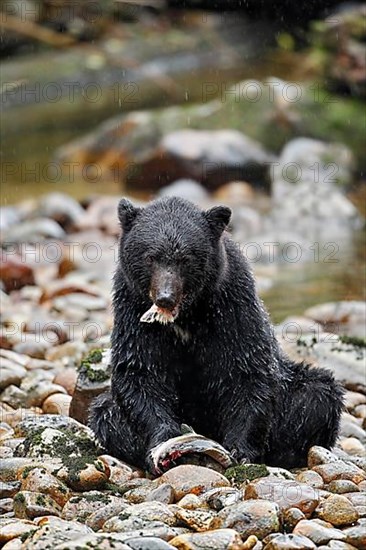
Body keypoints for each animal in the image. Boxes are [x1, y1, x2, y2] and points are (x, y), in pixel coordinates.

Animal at [90, 198, 344, 474]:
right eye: (150, 257)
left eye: (185, 258)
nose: (165, 297)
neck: (187, 317)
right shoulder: (132, 307)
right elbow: (139, 370)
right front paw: (164, 442)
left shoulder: (232, 304)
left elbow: (248, 369)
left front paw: (240, 451)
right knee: (105, 413)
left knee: (316, 394)